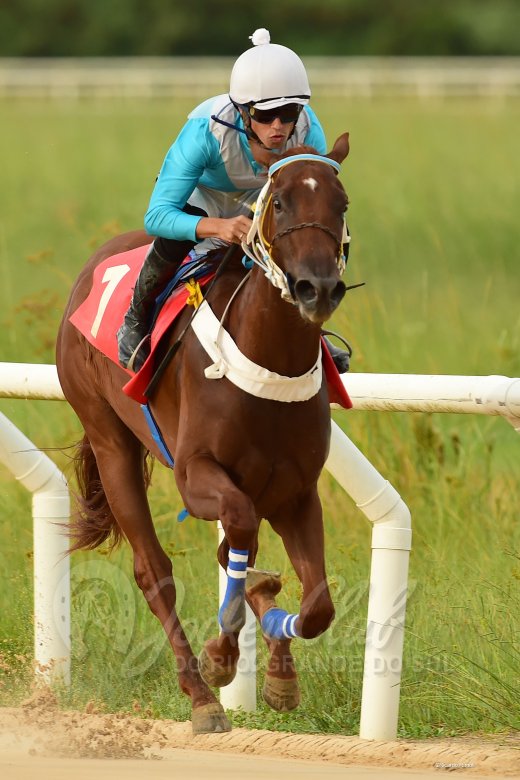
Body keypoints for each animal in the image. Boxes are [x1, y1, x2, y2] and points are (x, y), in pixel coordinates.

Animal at [56, 133, 351, 734]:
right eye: (279, 201)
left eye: (342, 204)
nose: (317, 288)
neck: (270, 358)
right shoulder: (196, 476)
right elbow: (236, 526)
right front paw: (221, 657)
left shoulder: (296, 492)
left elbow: (316, 605)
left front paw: (279, 671)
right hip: (109, 438)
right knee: (154, 572)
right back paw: (201, 696)